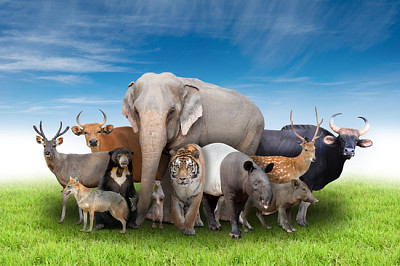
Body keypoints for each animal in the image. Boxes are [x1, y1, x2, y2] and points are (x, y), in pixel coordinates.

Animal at [122, 71, 266, 225]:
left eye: (172, 112)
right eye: (136, 112)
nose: (133, 224)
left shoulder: (195, 125)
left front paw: (168, 220)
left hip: (254, 134)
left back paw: (226, 218)